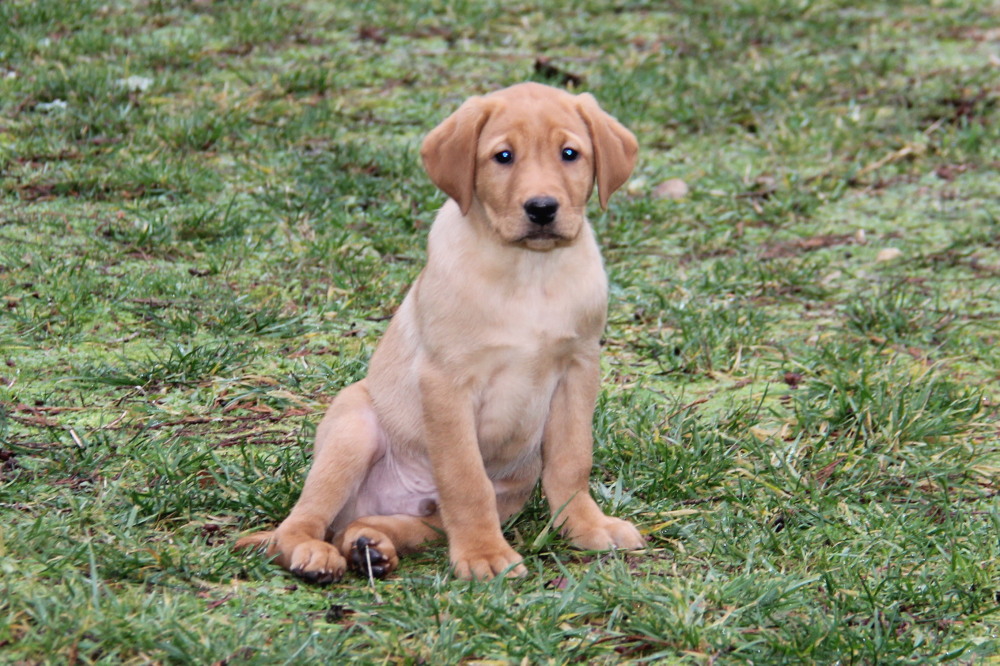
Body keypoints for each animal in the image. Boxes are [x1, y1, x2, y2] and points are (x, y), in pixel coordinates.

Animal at [235, 81, 644, 580]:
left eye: (570, 153)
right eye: (503, 156)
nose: (542, 208)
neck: (530, 271)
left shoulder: (578, 369)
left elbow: (571, 461)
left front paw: (587, 526)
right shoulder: (446, 382)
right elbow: (465, 479)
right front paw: (484, 555)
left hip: (460, 506)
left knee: (373, 525)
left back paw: (370, 547)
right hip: (353, 426)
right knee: (300, 523)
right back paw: (314, 555)